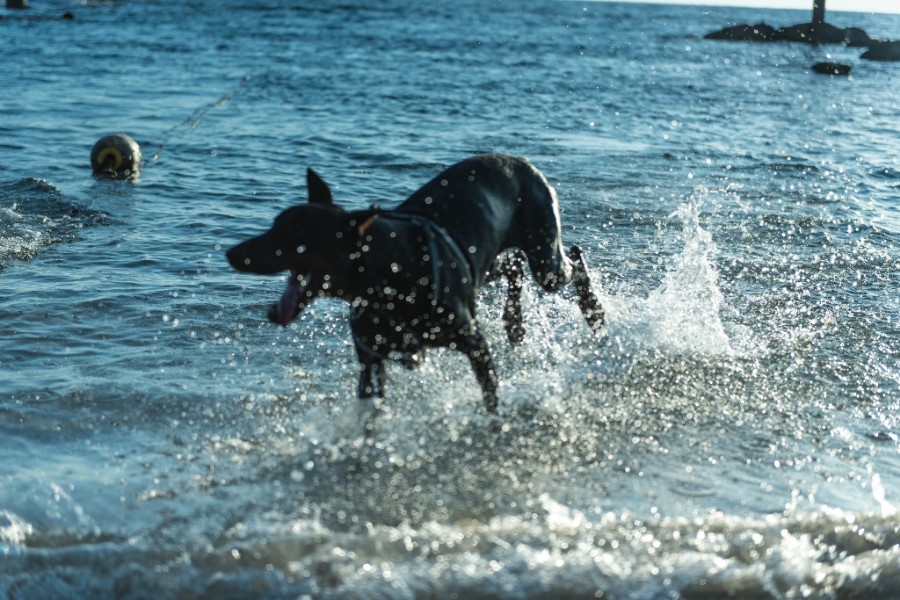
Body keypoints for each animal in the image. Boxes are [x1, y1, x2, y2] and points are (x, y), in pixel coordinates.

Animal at [227, 155, 604, 414]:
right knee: (514, 266)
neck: (387, 276)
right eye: (275, 223)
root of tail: (521, 161)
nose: (232, 253)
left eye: (293, 234)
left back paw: (593, 309)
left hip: (544, 250)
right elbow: (369, 404)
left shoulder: (475, 344)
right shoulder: (370, 359)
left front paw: (494, 423)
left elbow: (490, 395)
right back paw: (514, 322)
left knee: (571, 260)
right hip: (482, 262)